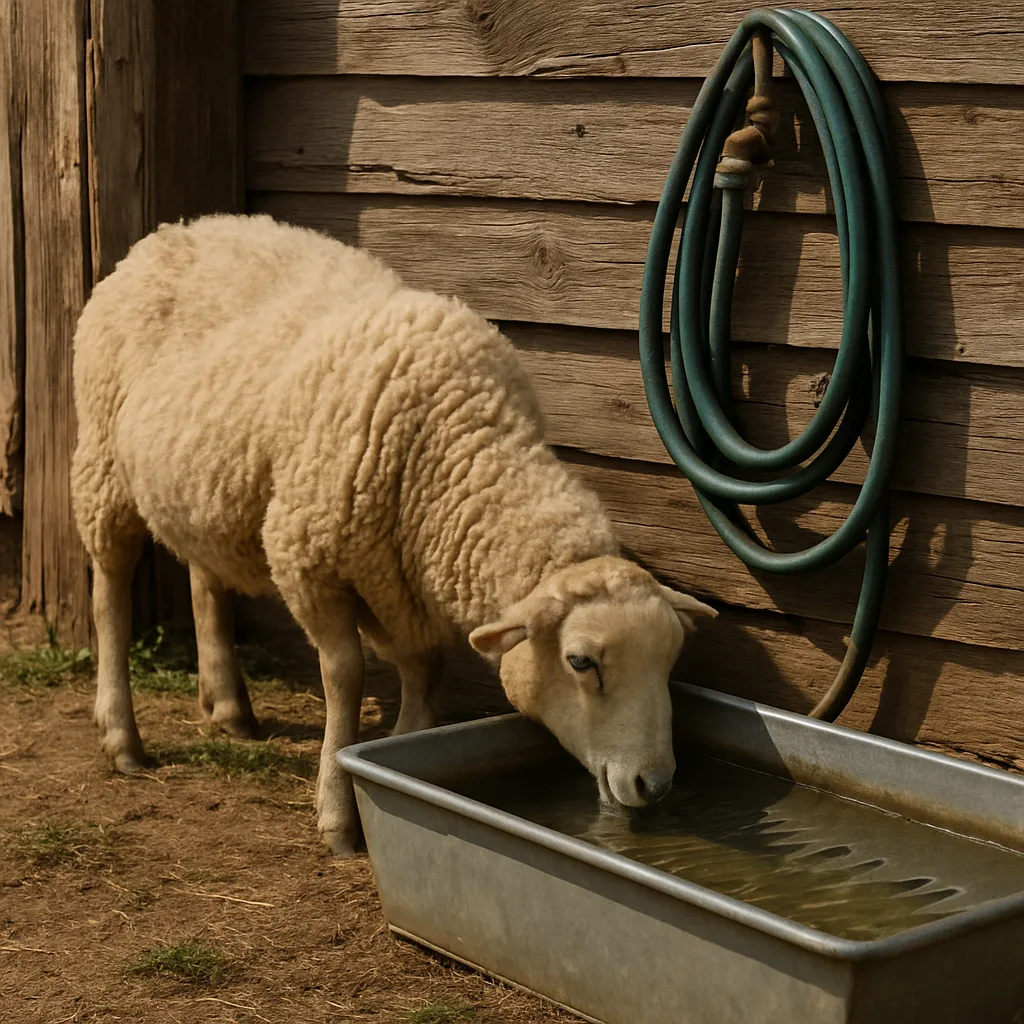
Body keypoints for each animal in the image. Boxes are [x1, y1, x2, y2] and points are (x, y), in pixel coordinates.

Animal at [71, 213, 717, 856]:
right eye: (581, 662)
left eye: (670, 661)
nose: (654, 784)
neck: (455, 442)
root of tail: (174, 231)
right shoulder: (308, 560)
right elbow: (346, 675)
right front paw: (338, 814)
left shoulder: (408, 584)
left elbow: (425, 675)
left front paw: (397, 758)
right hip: (102, 463)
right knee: (109, 594)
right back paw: (121, 735)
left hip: (203, 490)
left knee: (205, 579)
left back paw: (228, 707)